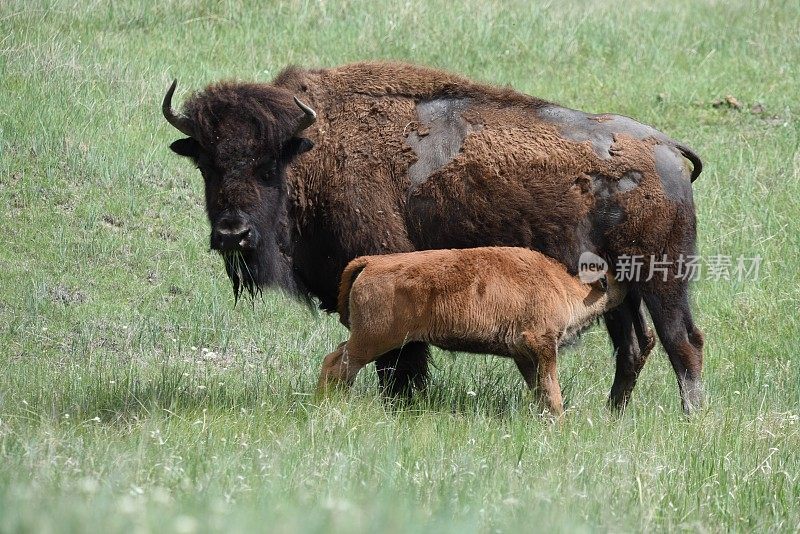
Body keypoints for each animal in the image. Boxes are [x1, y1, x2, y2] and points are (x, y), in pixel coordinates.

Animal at [318, 249, 624, 416]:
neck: (563, 286)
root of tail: (372, 262)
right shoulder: (542, 345)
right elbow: (552, 390)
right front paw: (560, 422)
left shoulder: (524, 355)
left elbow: (540, 389)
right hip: (373, 340)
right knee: (338, 364)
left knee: (337, 359)